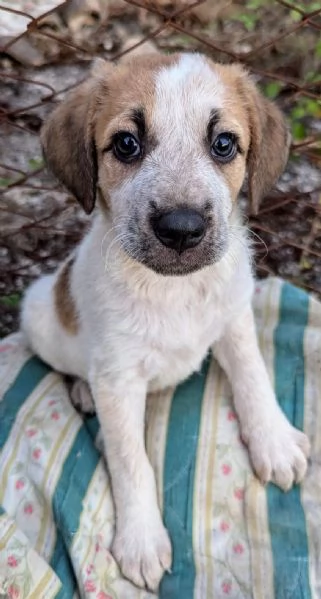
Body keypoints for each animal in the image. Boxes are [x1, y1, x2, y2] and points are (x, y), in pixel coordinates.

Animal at [21, 55, 308, 592]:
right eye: (126, 144)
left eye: (224, 144)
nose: (181, 229)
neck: (175, 291)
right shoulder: (118, 381)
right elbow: (131, 461)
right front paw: (142, 539)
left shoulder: (235, 316)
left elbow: (254, 378)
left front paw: (274, 441)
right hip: (39, 315)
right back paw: (81, 388)